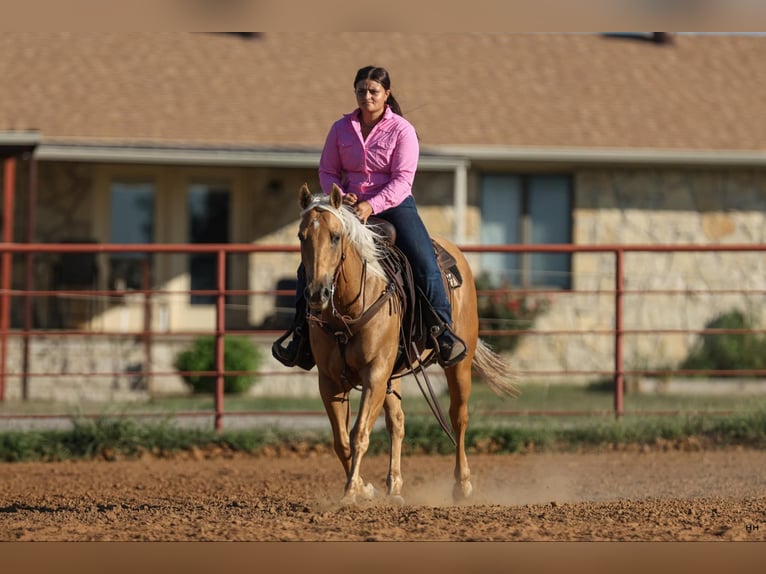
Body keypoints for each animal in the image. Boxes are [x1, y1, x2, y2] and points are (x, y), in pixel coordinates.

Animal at [298, 183, 516, 504]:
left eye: (336, 236)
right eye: (302, 236)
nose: (317, 293)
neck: (350, 308)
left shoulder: (375, 374)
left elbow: (359, 434)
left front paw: (350, 493)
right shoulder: (330, 382)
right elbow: (342, 441)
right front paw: (363, 488)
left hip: (459, 365)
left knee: (458, 416)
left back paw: (462, 485)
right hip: (393, 373)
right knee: (397, 422)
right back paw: (395, 487)